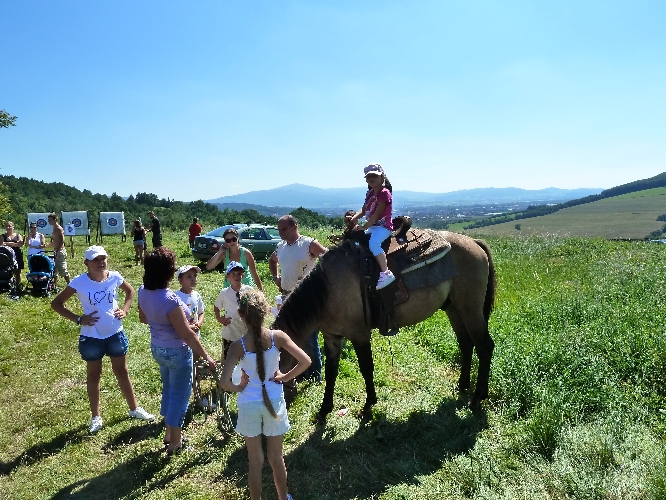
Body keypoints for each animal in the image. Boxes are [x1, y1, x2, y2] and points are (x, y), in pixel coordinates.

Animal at [274, 230, 496, 421]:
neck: (328, 289)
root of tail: (474, 242)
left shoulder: (360, 334)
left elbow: (366, 368)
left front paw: (368, 405)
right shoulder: (332, 338)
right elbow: (331, 373)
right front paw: (324, 410)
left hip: (471, 310)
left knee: (484, 346)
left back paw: (478, 397)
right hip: (454, 309)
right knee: (466, 344)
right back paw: (463, 384)